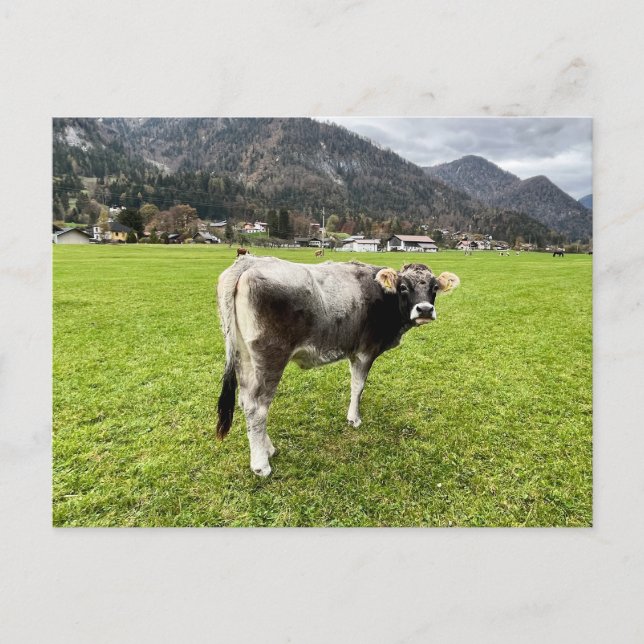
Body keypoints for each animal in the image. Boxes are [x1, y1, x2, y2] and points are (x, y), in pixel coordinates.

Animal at [215, 256, 460, 476]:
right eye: (403, 287)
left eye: (434, 287)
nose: (425, 309)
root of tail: (251, 262)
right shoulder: (365, 351)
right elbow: (358, 386)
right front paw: (354, 418)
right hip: (270, 357)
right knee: (258, 407)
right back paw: (261, 464)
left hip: (244, 356)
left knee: (245, 400)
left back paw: (267, 448)